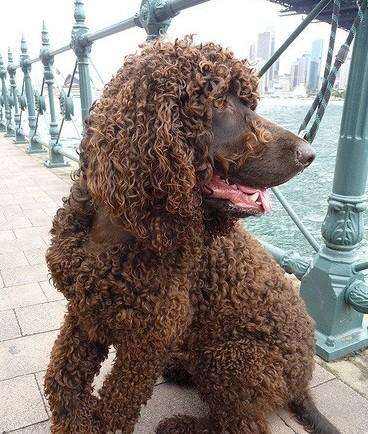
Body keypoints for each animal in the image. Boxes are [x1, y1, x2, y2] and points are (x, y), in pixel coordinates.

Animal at [44, 38, 340, 434]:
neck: (121, 230)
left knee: (241, 424)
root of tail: (302, 380)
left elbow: (117, 406)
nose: (309, 153)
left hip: (234, 361)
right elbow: (62, 376)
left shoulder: (150, 336)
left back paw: (182, 423)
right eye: (219, 102)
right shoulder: (85, 307)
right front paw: (73, 417)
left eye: (248, 103)